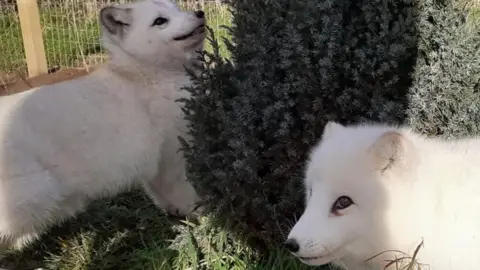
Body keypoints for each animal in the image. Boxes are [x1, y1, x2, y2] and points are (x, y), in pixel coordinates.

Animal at [0, 0, 204, 251]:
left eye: (177, 9)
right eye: (160, 21)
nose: (200, 13)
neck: (144, 74)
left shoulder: (154, 169)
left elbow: (164, 199)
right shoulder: (171, 160)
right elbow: (187, 197)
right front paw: (206, 219)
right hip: (35, 197)